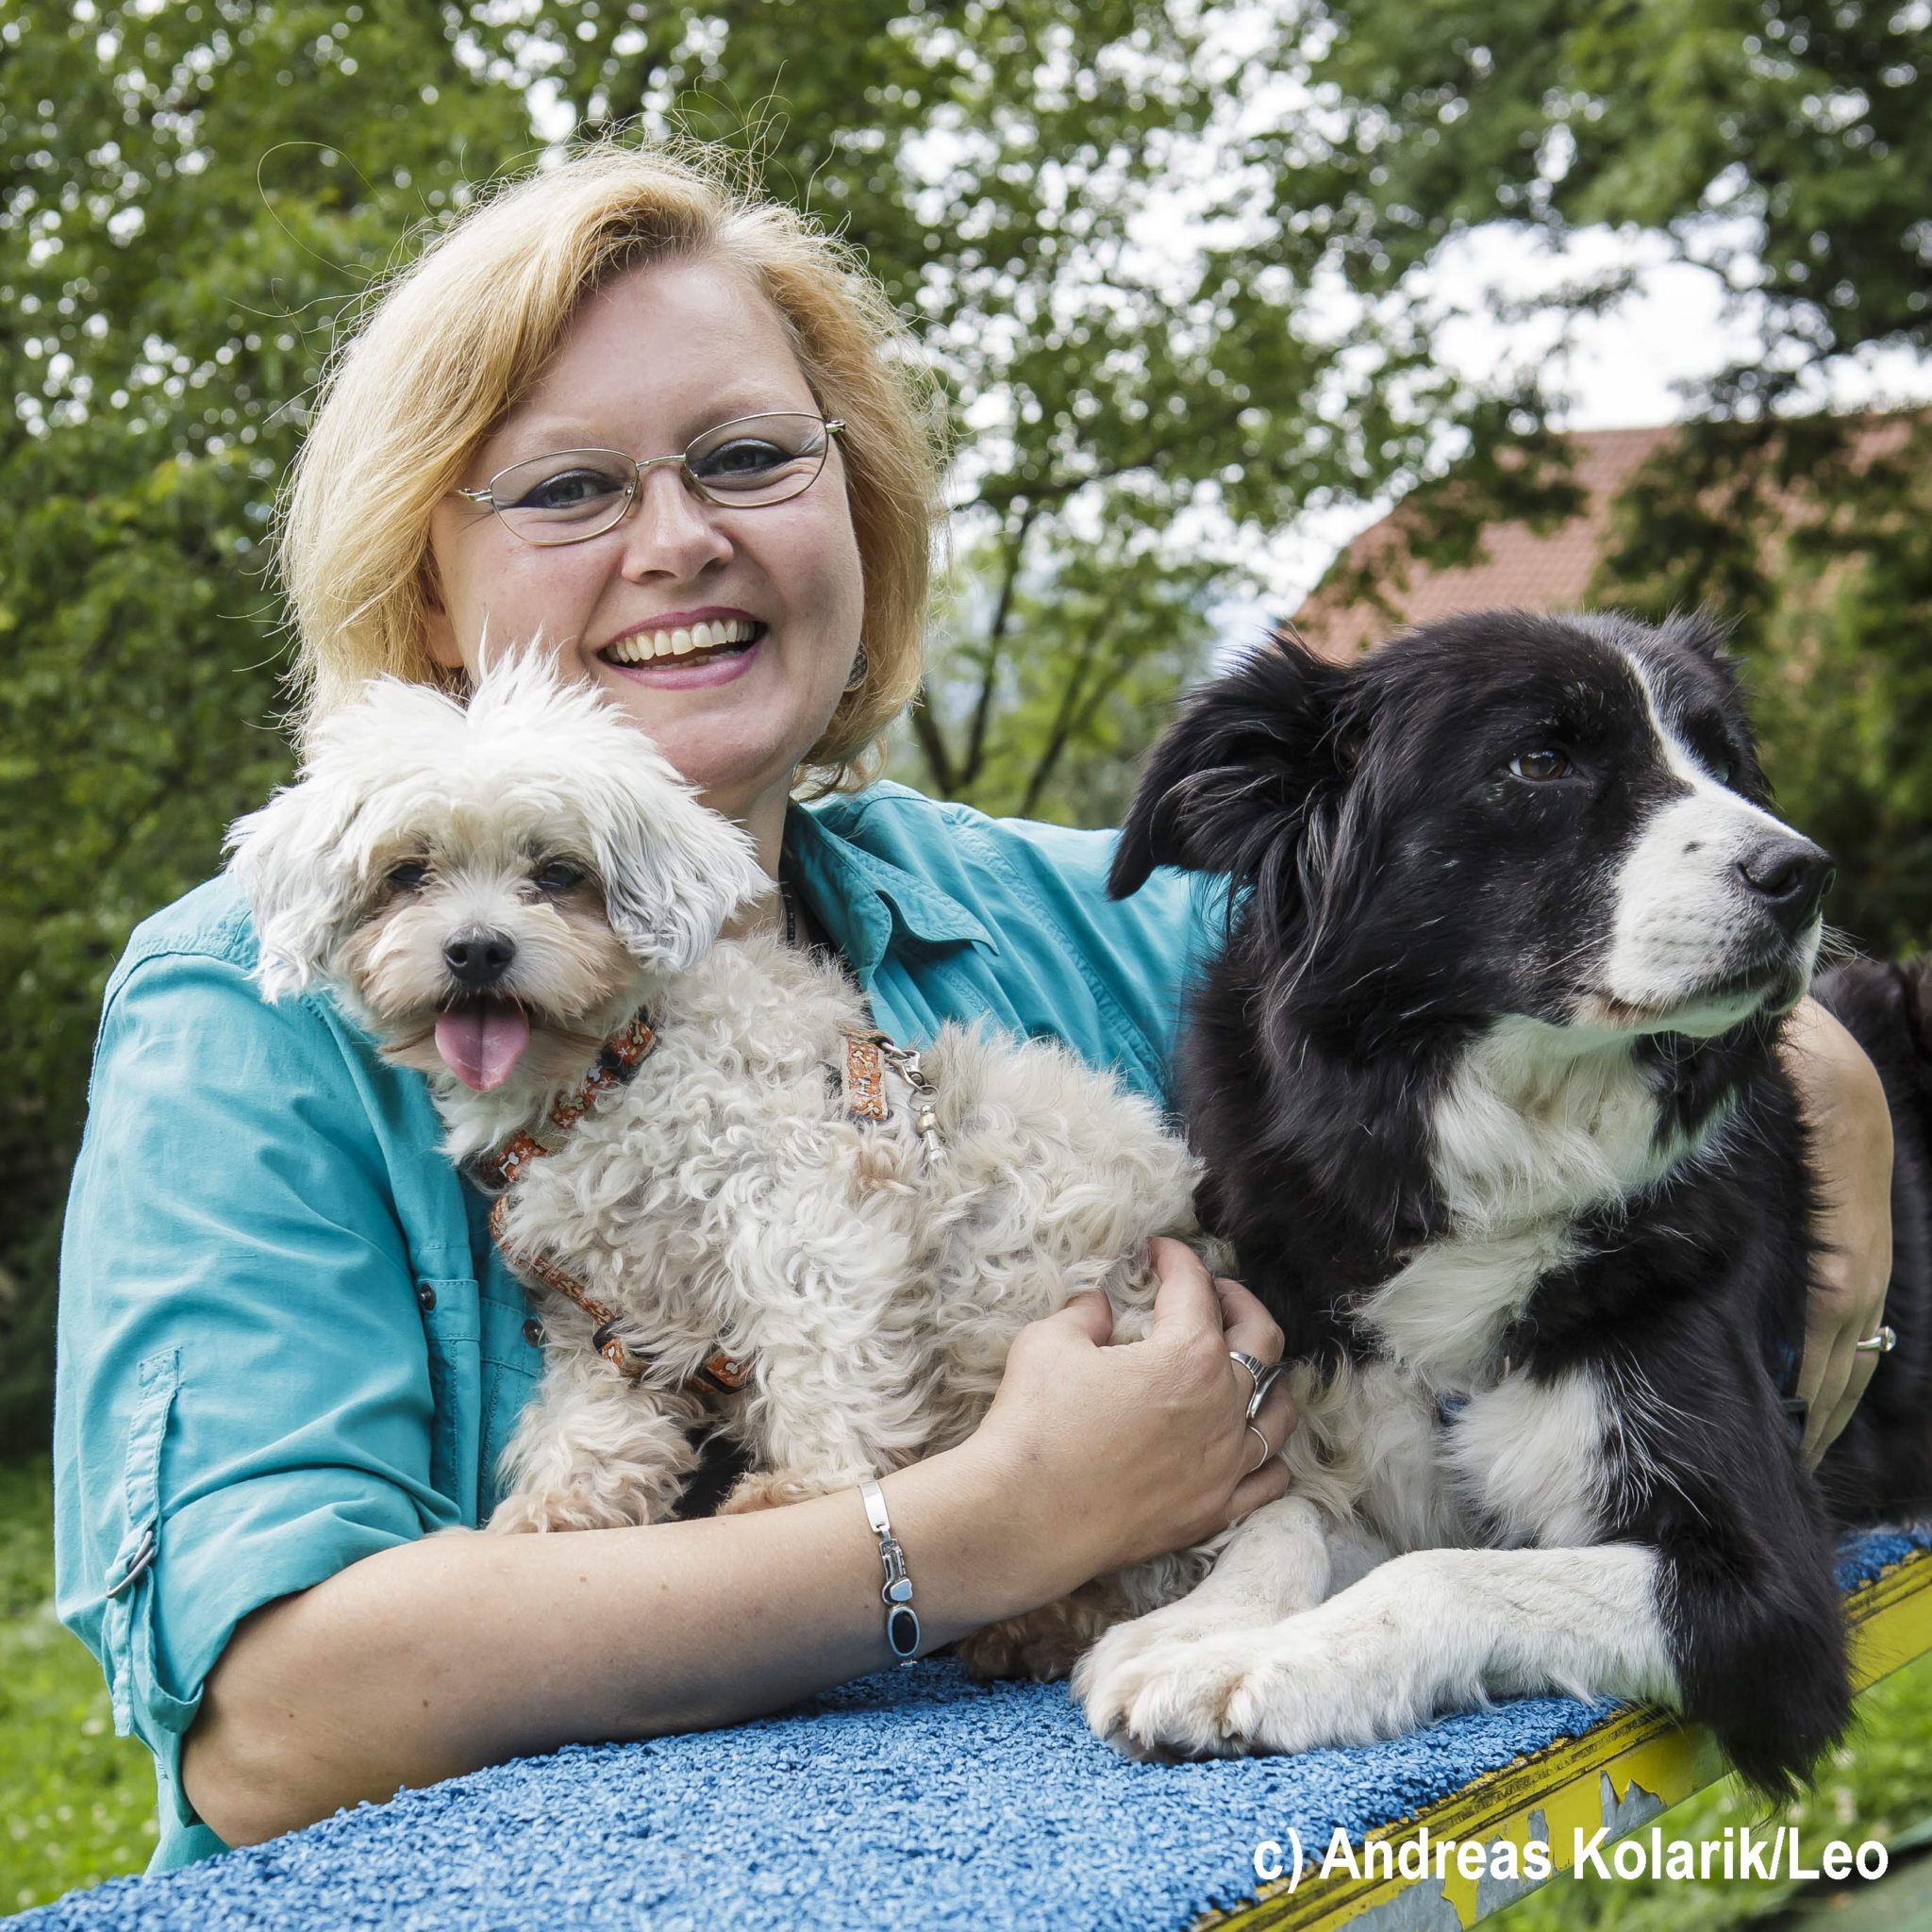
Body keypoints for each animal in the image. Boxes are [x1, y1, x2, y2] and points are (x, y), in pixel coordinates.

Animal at [222, 657, 1221, 1684]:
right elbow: (589, 1422)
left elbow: (820, 1357)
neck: (608, 1073)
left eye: (558, 873)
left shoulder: (805, 1212)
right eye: (407, 873)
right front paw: (558, 1511)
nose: (476, 949)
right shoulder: (601, 1314)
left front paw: (808, 1489)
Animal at [1081, 610, 1924, 1785]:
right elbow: (1288, 1513)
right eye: (1540, 760)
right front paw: (1193, 1627)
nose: (1801, 873)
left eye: (1722, 763)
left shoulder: (1769, 1588)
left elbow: (1439, 1569)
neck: (1507, 1143)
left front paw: (1245, 1665)